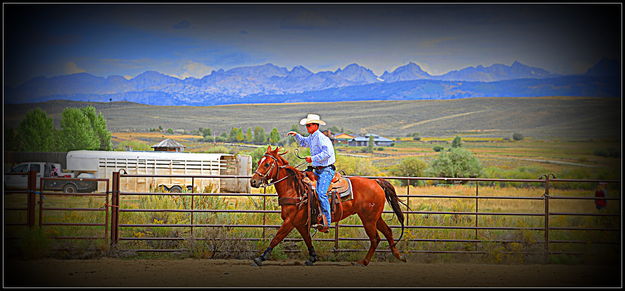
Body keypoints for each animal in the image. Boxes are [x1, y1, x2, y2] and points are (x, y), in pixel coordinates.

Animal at [251, 146, 408, 266]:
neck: (295, 188)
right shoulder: (300, 223)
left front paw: (260, 258)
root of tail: (376, 182)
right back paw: (399, 256)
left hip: (368, 219)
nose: (253, 181)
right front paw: (312, 258)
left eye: (266, 164)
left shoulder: (290, 221)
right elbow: (307, 239)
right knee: (387, 232)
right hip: (375, 217)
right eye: (258, 161)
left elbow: (277, 237)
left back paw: (364, 261)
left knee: (375, 238)